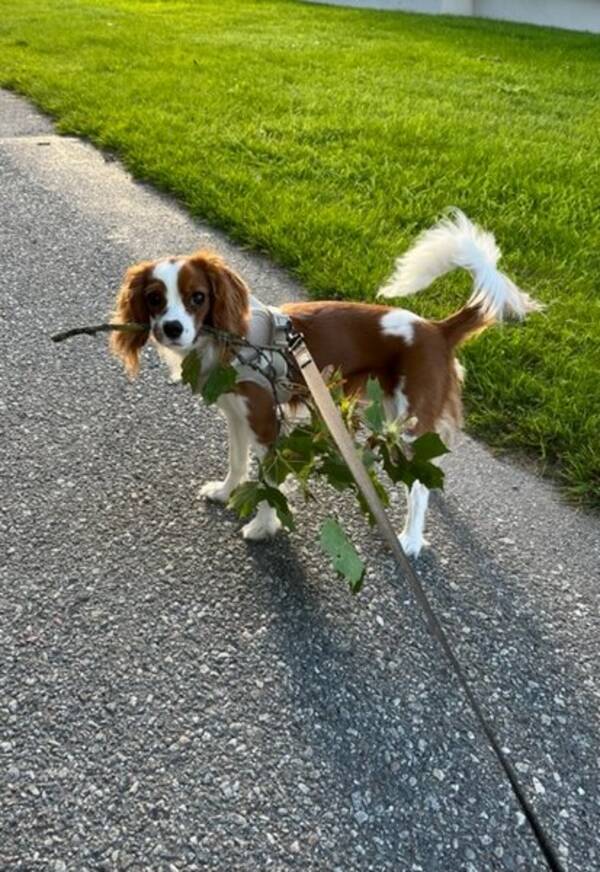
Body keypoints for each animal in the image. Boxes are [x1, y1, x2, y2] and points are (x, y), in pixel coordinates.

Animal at [110, 208, 540, 556]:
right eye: (154, 299)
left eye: (197, 297)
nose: (171, 328)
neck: (232, 342)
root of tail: (436, 328)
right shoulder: (236, 415)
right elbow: (237, 460)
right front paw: (225, 490)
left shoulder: (265, 423)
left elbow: (268, 481)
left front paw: (263, 526)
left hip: (409, 418)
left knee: (419, 486)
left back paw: (411, 539)